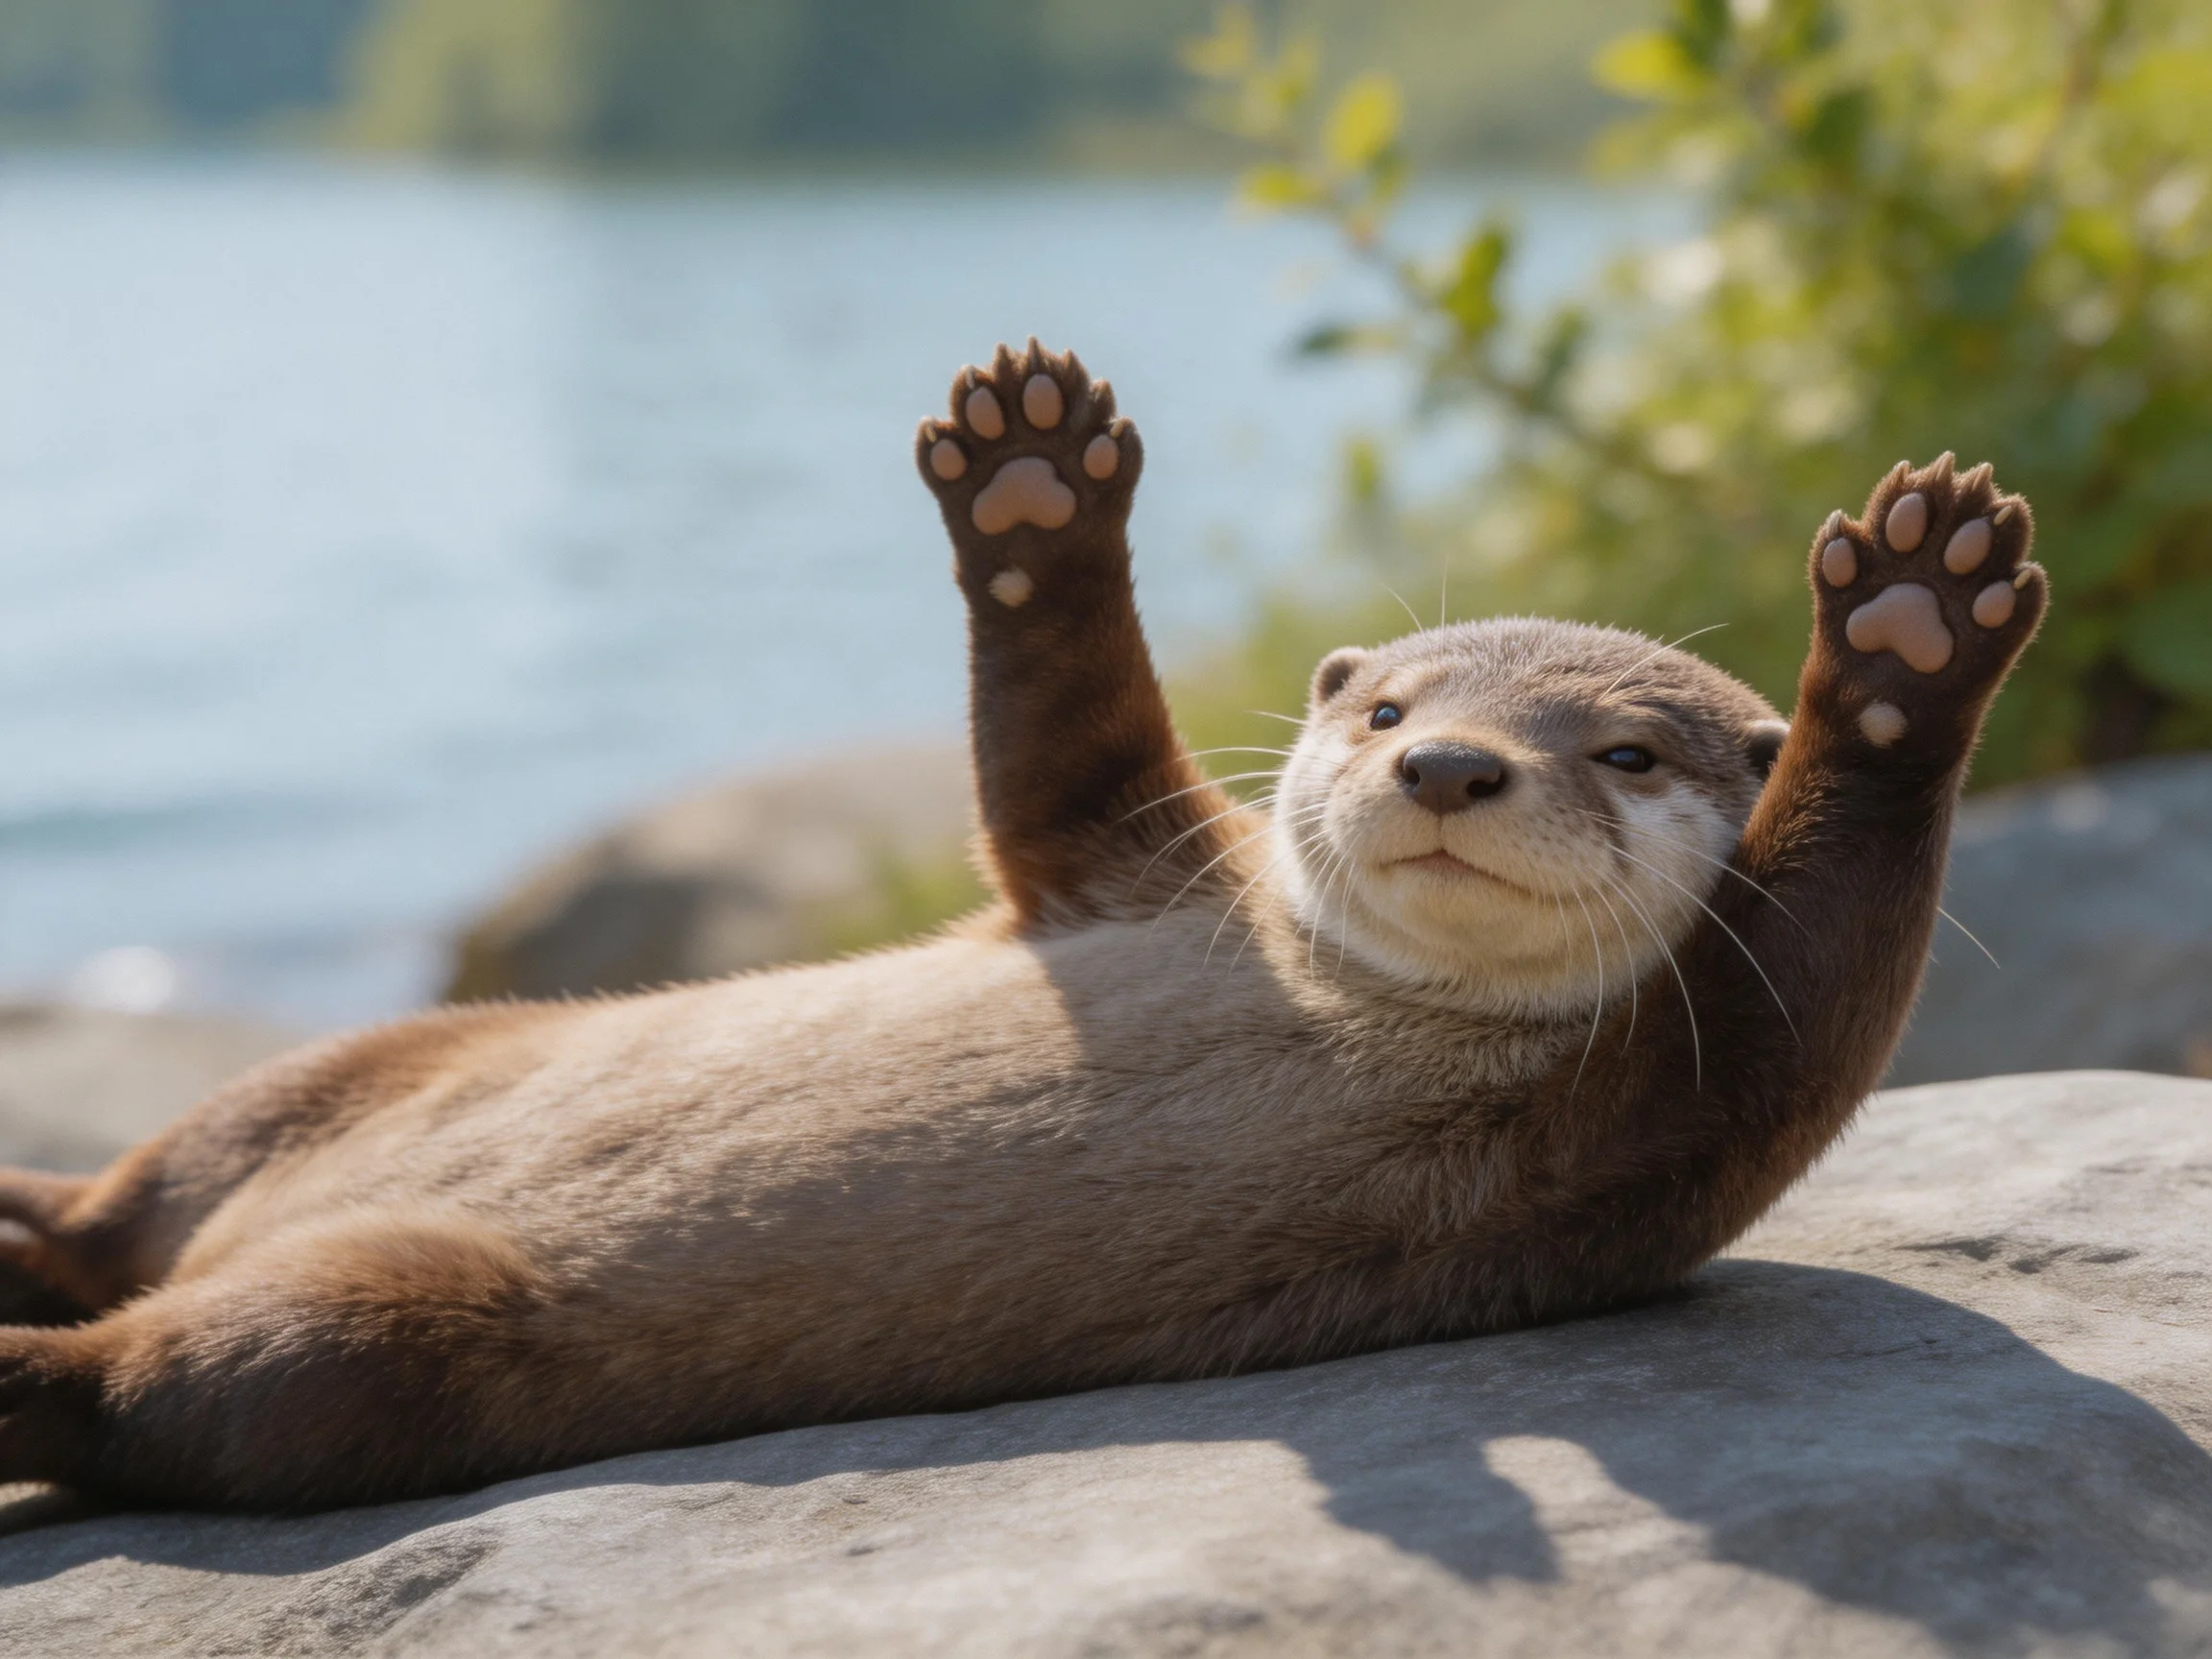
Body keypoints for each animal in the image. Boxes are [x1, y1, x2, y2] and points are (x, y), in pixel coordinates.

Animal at [0, 343, 2044, 1512]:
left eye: (1619, 749)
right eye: (1385, 708)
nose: (1451, 764)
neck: (1331, 997)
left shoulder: (1647, 1131)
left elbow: (1811, 960)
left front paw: (1907, 636)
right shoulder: (1129, 875)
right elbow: (1055, 750)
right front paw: (1031, 481)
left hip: (387, 1331)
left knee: (187, 1386)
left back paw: (30, 1357)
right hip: (358, 1063)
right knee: (132, 1194)